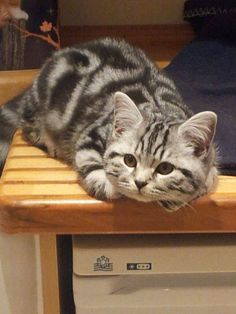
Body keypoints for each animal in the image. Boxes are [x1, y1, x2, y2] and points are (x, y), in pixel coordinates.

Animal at [0, 38, 218, 212]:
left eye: (165, 168)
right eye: (129, 160)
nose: (139, 182)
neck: (160, 108)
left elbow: (207, 179)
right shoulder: (91, 134)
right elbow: (92, 165)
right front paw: (112, 185)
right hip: (39, 111)